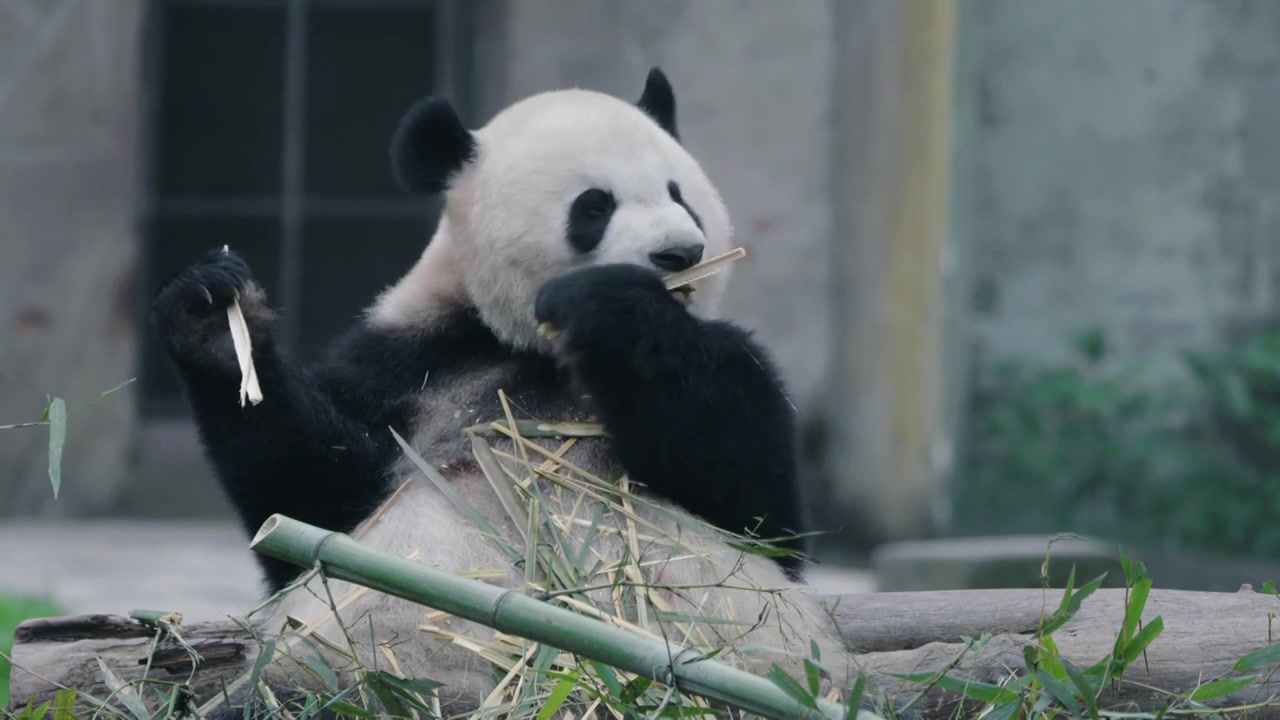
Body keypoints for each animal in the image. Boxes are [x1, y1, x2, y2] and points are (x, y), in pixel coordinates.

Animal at [152, 65, 849, 712]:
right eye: (594, 206)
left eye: (681, 194)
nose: (681, 253)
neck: (533, 350)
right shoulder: (409, 364)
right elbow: (307, 502)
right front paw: (213, 314)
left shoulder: (727, 371)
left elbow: (759, 512)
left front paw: (615, 309)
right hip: (361, 669)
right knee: (291, 690)